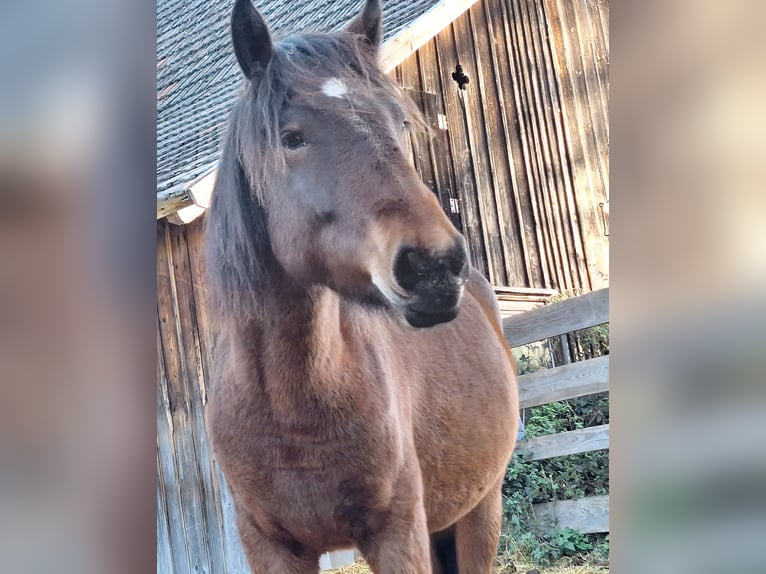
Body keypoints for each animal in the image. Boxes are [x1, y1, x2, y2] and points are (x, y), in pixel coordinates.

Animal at [204, 2, 520, 572]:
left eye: (400, 123)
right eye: (292, 137)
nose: (435, 265)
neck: (292, 409)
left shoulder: (397, 534)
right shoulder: (270, 547)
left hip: (481, 511)